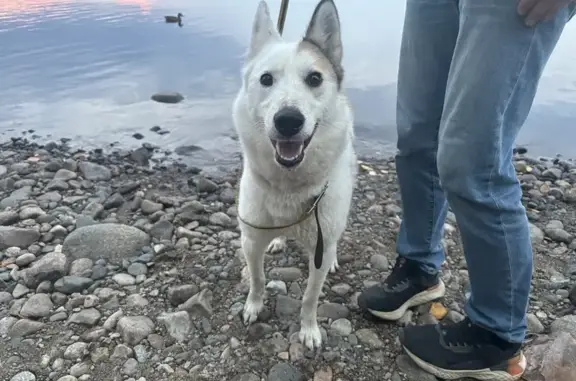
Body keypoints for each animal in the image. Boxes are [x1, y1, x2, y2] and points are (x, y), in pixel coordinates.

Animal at [230, 0, 356, 350]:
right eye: (266, 79)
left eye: (314, 78)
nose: (288, 120)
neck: (288, 186)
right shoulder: (250, 241)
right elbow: (257, 278)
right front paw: (254, 305)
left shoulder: (319, 252)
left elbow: (311, 298)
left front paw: (309, 330)